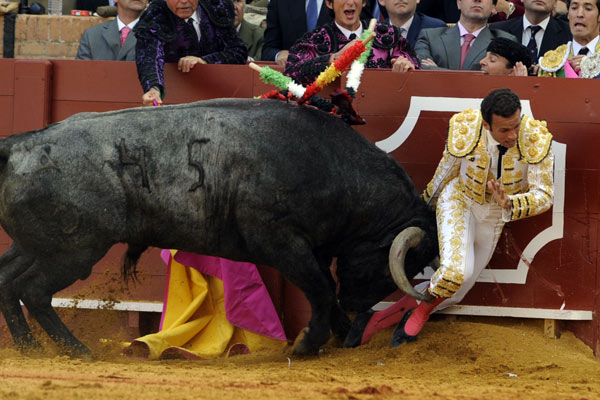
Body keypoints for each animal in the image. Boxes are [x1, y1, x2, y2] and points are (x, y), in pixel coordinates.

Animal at [0, 98, 436, 358]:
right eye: (391, 263)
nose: (358, 304)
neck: (337, 170)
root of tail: (19, 145)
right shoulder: (279, 240)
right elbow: (321, 289)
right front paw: (306, 344)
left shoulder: (309, 248)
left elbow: (324, 288)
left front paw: (340, 334)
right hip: (74, 251)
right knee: (34, 290)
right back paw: (76, 350)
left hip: (35, 245)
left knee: (8, 280)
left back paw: (28, 348)